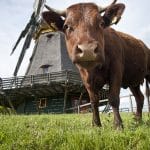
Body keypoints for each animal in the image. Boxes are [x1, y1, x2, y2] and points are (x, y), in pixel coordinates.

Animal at [42, 0, 150, 129]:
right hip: (133, 82)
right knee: (140, 98)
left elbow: (113, 98)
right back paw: (138, 121)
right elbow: (93, 101)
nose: (87, 50)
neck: (94, 69)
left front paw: (118, 125)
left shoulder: (116, 69)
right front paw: (96, 124)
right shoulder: (85, 77)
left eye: (101, 23)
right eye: (66, 26)